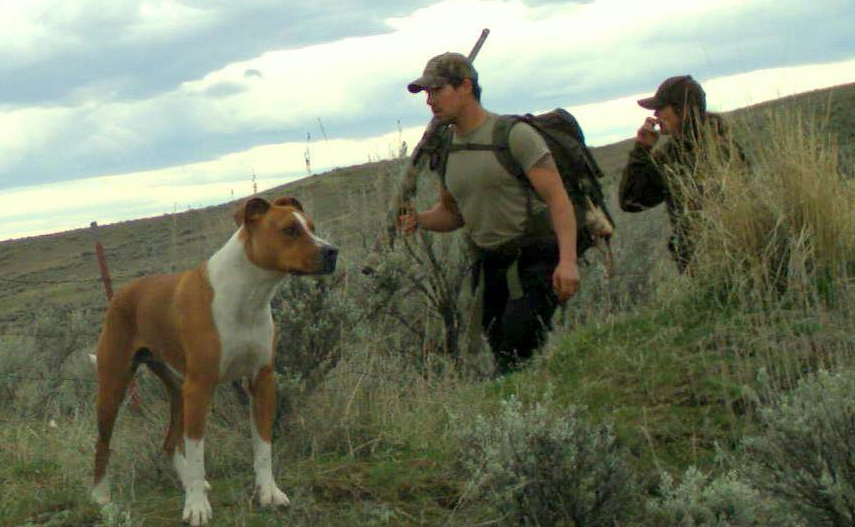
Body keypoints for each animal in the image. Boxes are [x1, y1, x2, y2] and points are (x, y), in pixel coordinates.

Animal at [91, 196, 338, 524]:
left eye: (312, 227)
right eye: (290, 230)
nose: (332, 252)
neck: (247, 296)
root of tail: (121, 293)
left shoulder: (262, 380)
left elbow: (263, 446)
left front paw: (269, 493)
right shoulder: (201, 387)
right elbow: (198, 453)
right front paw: (196, 507)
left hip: (177, 390)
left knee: (169, 442)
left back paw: (186, 482)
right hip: (115, 385)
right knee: (103, 444)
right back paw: (102, 498)